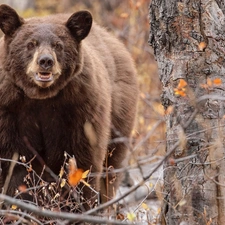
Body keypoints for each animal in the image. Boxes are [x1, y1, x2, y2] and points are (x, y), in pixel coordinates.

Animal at [0, 3, 138, 209]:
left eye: (58, 45)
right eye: (31, 44)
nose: (46, 61)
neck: (41, 97)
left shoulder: (80, 108)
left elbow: (82, 160)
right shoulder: (9, 109)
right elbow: (13, 164)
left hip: (120, 116)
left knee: (111, 170)